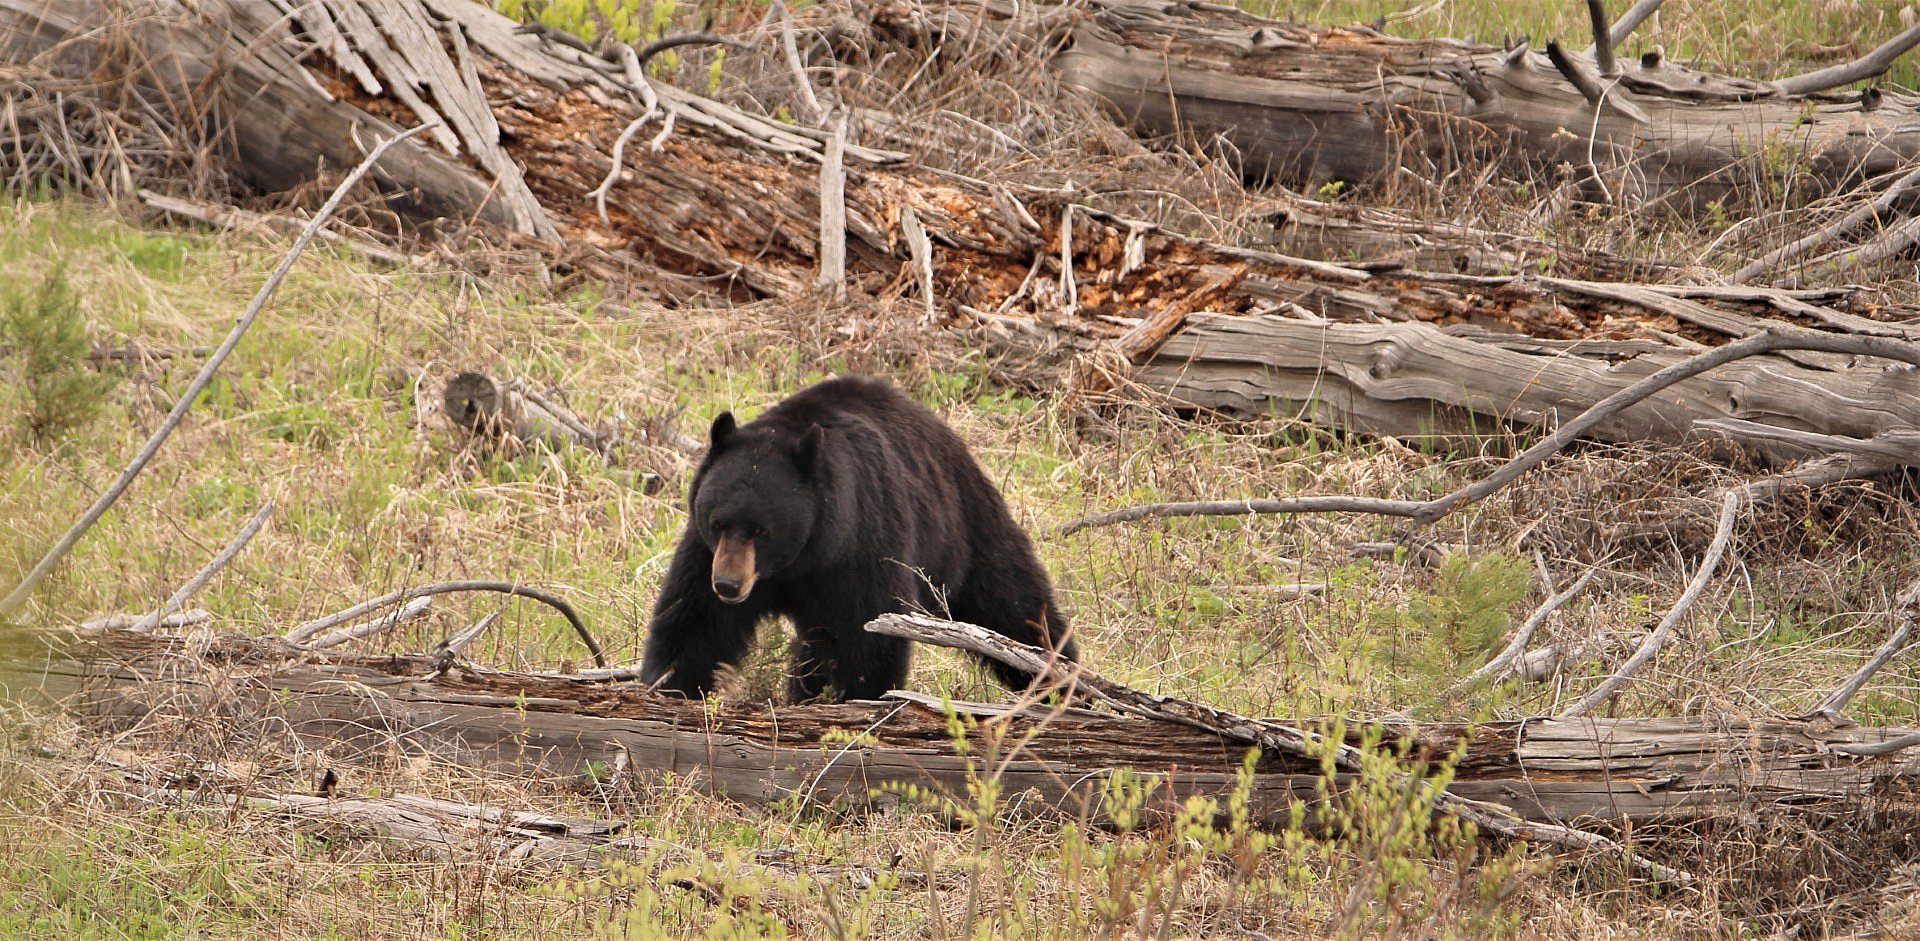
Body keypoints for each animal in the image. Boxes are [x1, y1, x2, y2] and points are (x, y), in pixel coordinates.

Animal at [638, 376, 1077, 703]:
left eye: (762, 531)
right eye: (718, 523)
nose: (729, 585)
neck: (804, 556)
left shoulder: (861, 546)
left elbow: (865, 636)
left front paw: (854, 698)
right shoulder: (705, 553)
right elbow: (696, 620)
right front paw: (670, 684)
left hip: (964, 530)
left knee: (1013, 605)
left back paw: (1060, 681)